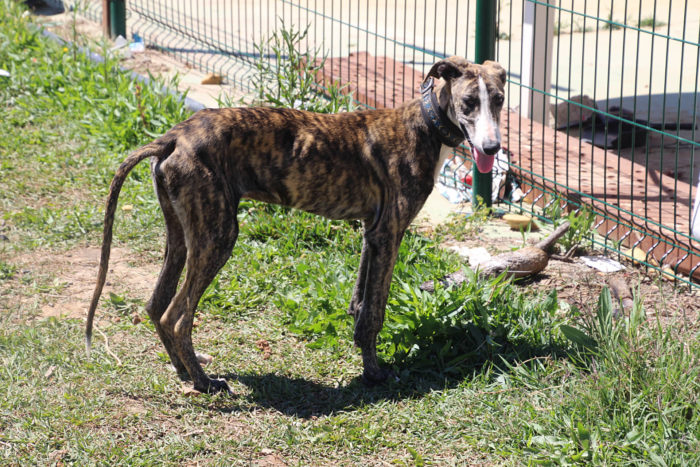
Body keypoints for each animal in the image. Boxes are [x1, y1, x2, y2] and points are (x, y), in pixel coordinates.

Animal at [86, 56, 506, 393]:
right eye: (469, 103)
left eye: (499, 100)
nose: (492, 148)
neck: (424, 125)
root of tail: (173, 136)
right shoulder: (390, 235)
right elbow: (375, 311)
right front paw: (374, 375)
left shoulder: (371, 234)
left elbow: (360, 304)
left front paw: (363, 358)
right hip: (218, 236)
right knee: (176, 315)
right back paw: (205, 383)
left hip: (182, 234)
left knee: (156, 305)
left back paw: (184, 371)